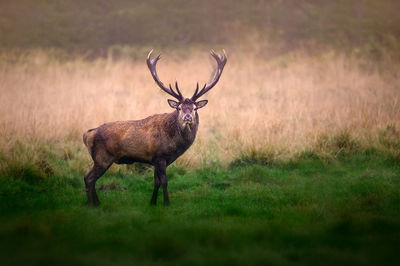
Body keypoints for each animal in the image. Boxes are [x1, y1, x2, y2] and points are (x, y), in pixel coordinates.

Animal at [83, 51, 227, 207]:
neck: (175, 145)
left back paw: (96, 203)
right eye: (179, 108)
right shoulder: (160, 156)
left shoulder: (155, 160)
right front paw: (167, 203)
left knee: (90, 178)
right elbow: (164, 181)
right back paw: (92, 204)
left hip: (99, 159)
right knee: (88, 178)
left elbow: (156, 182)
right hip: (102, 157)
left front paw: (152, 202)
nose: (187, 117)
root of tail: (87, 134)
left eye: (195, 108)